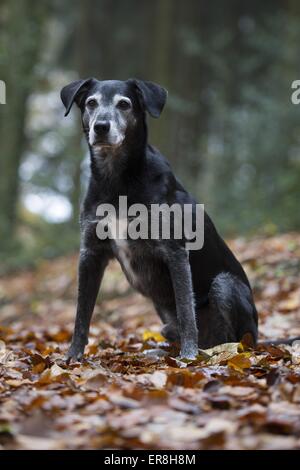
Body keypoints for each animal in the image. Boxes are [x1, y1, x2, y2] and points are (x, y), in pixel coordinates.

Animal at [60, 79, 260, 362]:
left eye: (124, 104)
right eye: (91, 103)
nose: (101, 127)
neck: (117, 180)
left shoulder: (175, 252)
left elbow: (187, 311)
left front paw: (188, 355)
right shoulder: (90, 253)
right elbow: (81, 313)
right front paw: (73, 356)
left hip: (226, 289)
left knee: (229, 340)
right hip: (164, 318)